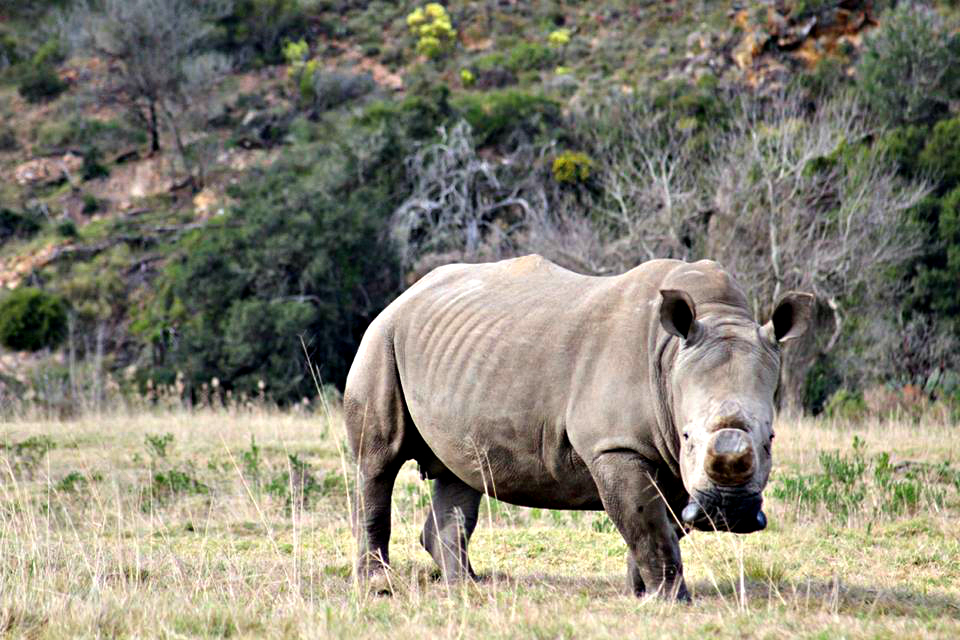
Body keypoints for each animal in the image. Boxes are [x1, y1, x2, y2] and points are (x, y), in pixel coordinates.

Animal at [344, 255, 812, 600]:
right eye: (688, 438)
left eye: (770, 440)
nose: (727, 514)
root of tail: (406, 294)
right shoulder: (617, 445)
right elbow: (646, 523)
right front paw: (670, 598)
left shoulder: (670, 460)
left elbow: (662, 524)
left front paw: (642, 592)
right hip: (381, 336)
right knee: (378, 462)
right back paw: (379, 586)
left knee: (462, 473)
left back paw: (467, 587)